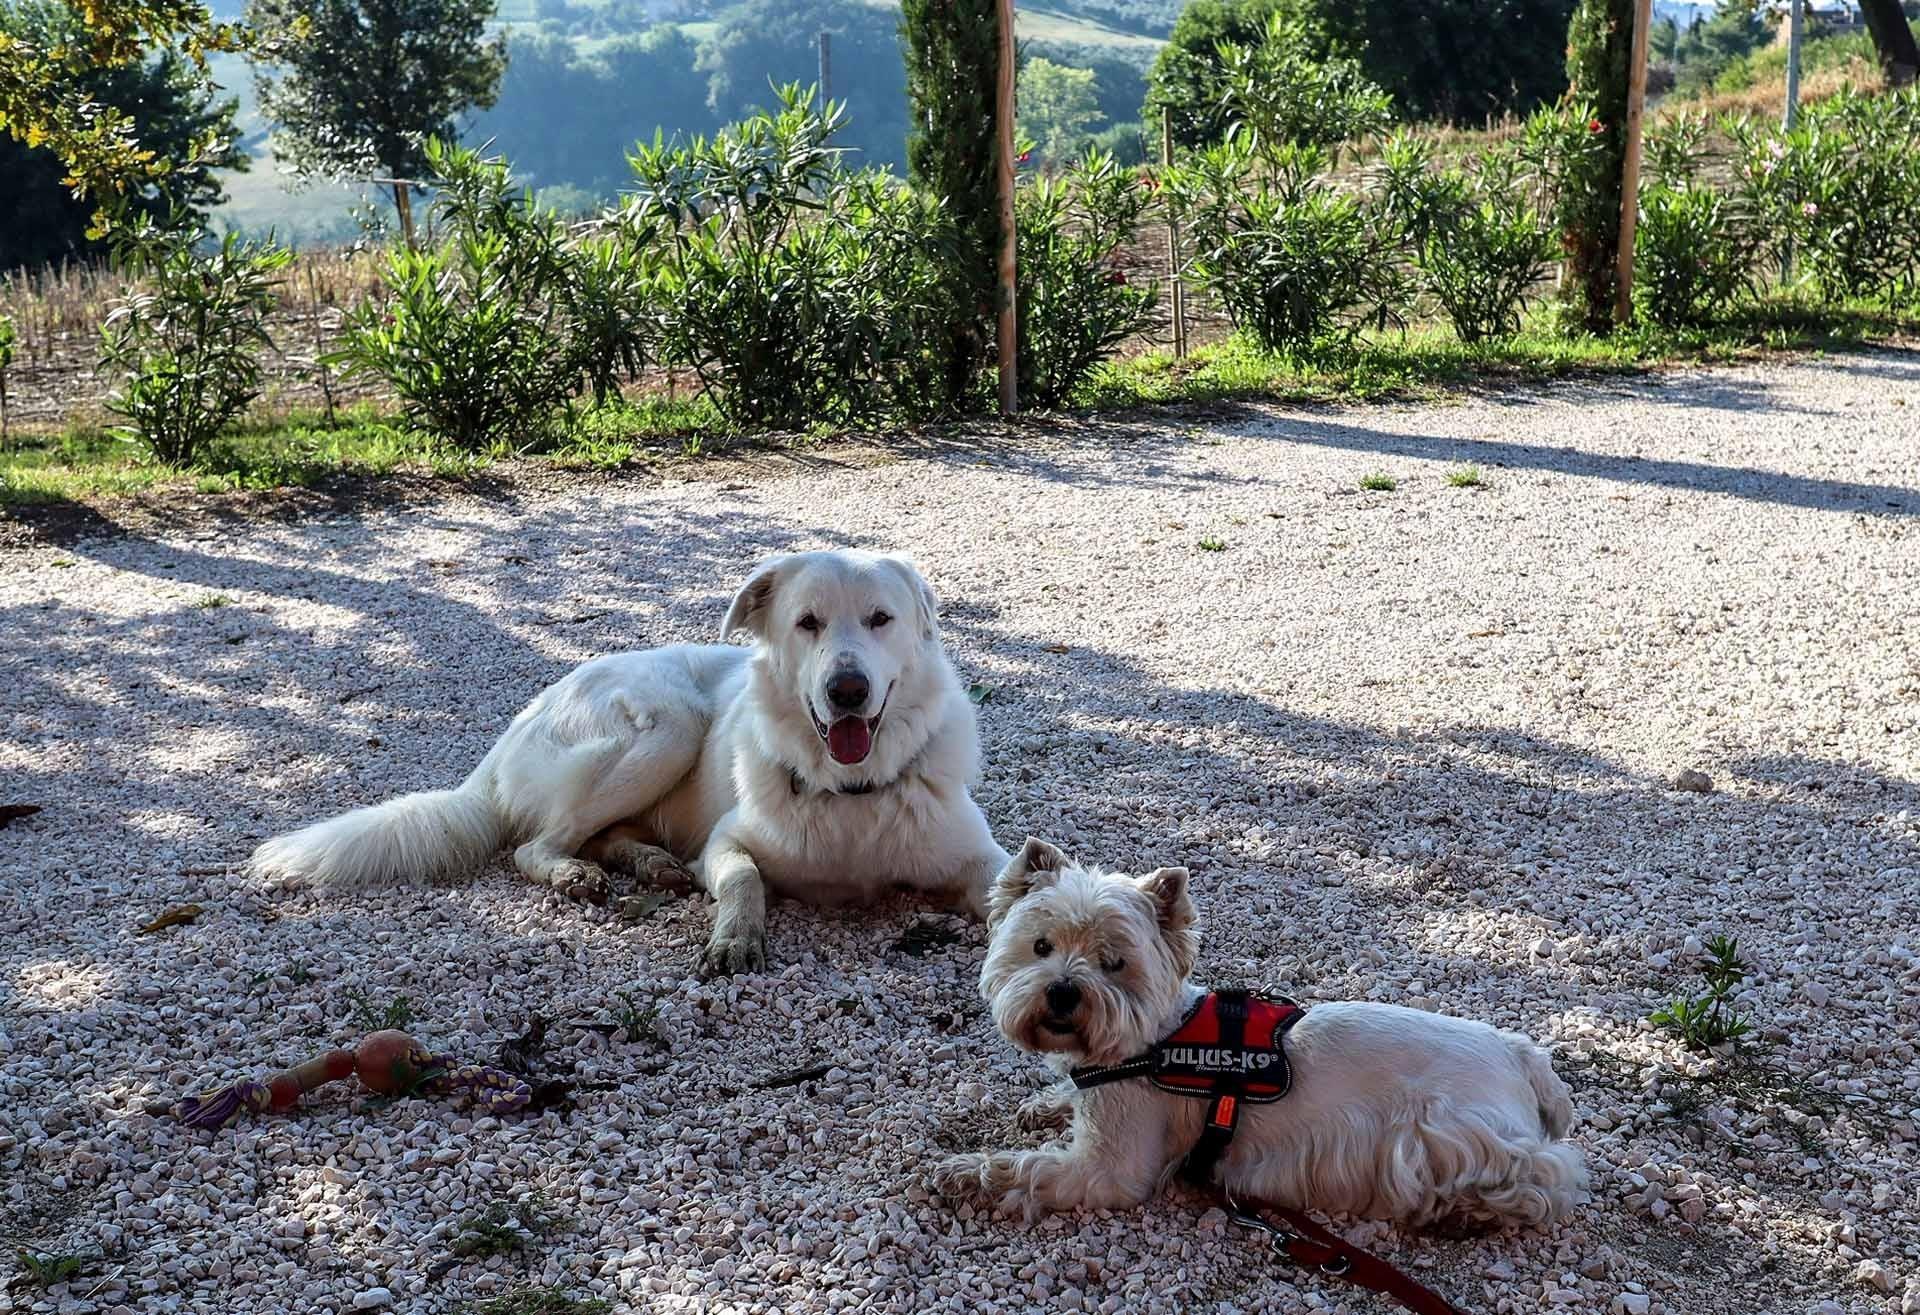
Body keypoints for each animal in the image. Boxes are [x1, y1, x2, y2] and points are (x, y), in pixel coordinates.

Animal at [252, 550, 1009, 976]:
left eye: (881, 619)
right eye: (808, 623)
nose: (845, 690)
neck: (851, 791)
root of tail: (521, 717)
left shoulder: (983, 859)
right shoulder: (728, 842)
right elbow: (745, 882)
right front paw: (736, 938)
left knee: (601, 835)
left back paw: (648, 864)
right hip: (668, 726)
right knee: (535, 845)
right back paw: (577, 873)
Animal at [936, 838, 1587, 1229]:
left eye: (1113, 962)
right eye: (1041, 946)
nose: (1062, 992)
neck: (1152, 1042)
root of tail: (1523, 1056)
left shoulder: (1109, 1167)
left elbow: (1025, 1168)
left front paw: (960, 1171)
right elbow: (1063, 1101)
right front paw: (1045, 1104)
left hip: (1457, 1133)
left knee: (1550, 1175)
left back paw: (1470, 1209)